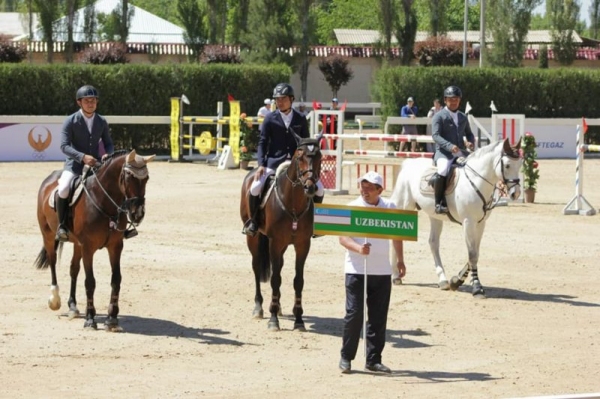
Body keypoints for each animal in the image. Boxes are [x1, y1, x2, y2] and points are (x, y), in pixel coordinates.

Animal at [34, 150, 155, 332]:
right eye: (128, 176)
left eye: (146, 178)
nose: (137, 214)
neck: (104, 202)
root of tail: (49, 179)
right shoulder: (88, 247)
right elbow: (90, 282)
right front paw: (90, 319)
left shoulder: (115, 246)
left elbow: (116, 279)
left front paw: (112, 319)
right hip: (48, 235)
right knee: (53, 262)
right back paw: (55, 300)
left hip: (76, 244)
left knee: (73, 269)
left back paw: (73, 306)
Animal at [240, 138, 322, 332]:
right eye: (299, 157)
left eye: (320, 158)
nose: (310, 187)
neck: (293, 204)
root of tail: (252, 171)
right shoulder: (275, 242)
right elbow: (275, 279)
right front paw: (273, 319)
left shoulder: (302, 244)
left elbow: (298, 280)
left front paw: (298, 320)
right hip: (253, 238)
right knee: (256, 268)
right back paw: (259, 308)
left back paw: (279, 306)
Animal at [392, 139, 524, 298]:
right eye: (508, 165)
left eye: (520, 164)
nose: (515, 194)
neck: (476, 181)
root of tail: (408, 164)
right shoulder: (468, 222)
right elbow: (472, 255)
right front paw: (477, 287)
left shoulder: (480, 224)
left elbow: (475, 253)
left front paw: (456, 280)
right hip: (403, 208)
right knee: (395, 237)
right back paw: (396, 276)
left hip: (435, 216)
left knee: (433, 243)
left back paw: (442, 280)